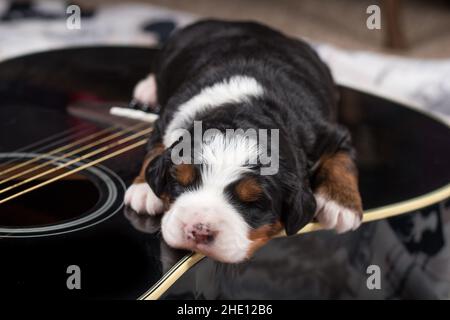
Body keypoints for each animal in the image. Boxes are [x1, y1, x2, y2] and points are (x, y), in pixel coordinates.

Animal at [123, 20, 362, 264]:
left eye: (253, 203)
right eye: (179, 182)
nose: (199, 230)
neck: (245, 109)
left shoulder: (329, 133)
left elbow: (343, 161)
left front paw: (340, 204)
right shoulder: (167, 118)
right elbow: (155, 148)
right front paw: (143, 189)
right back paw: (146, 90)